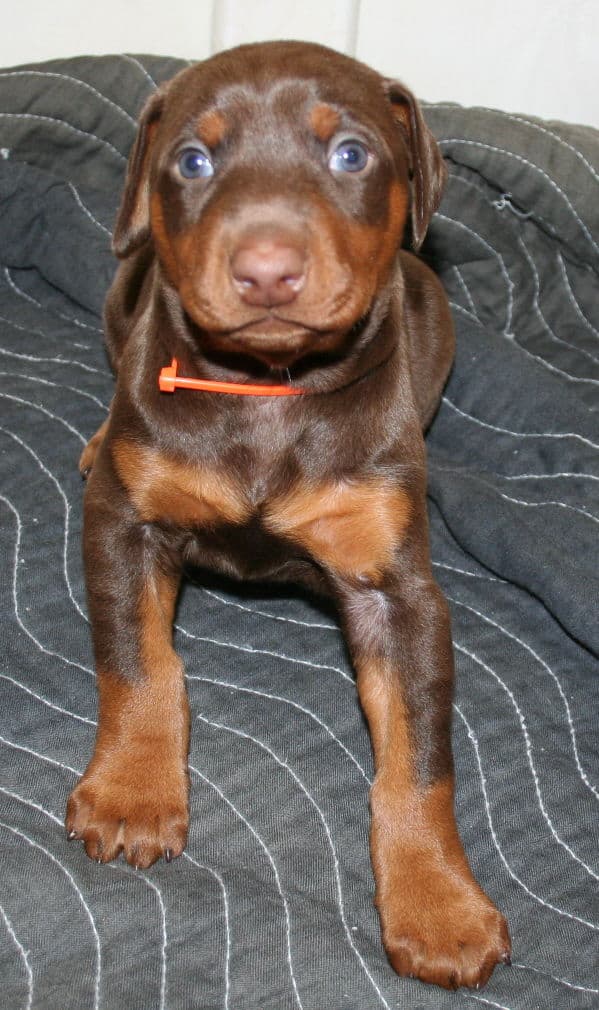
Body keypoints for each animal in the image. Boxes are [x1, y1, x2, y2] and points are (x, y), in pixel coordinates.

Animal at [66, 39, 509, 985]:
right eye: (192, 162)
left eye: (349, 153)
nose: (266, 270)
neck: (268, 390)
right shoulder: (123, 526)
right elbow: (139, 665)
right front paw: (131, 793)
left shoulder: (397, 592)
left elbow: (419, 761)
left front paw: (440, 905)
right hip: (126, 285)